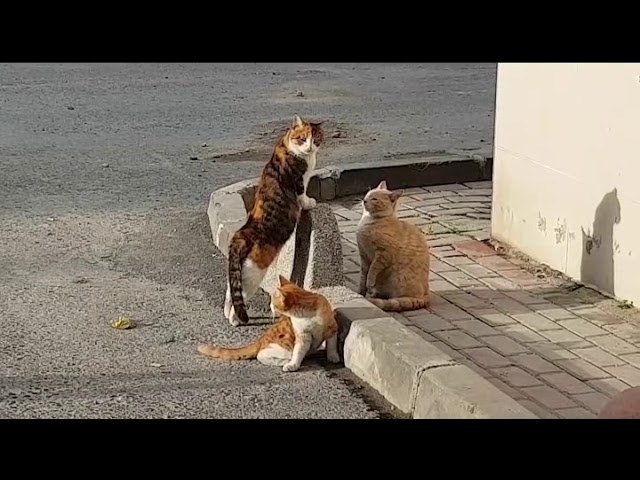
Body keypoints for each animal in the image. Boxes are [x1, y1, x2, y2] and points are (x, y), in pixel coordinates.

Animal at [199, 274, 340, 372]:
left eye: (273, 301)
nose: (270, 306)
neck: (306, 315)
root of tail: (260, 340)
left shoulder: (332, 327)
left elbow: (332, 344)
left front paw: (333, 356)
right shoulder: (302, 335)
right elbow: (298, 351)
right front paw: (294, 364)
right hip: (281, 348)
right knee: (262, 356)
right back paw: (288, 361)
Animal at [225, 116, 324, 326]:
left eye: (316, 138)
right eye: (302, 138)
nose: (310, 147)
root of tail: (241, 235)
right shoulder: (299, 180)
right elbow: (303, 196)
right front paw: (309, 203)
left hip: (237, 273)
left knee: (230, 292)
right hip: (254, 273)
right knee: (241, 296)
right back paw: (235, 320)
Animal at [356, 180, 430, 312]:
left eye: (374, 199)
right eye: (367, 194)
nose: (364, 200)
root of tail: (425, 295)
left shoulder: (383, 255)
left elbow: (371, 272)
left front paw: (369, 284)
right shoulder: (363, 254)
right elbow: (363, 276)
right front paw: (360, 292)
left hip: (399, 279)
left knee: (398, 299)